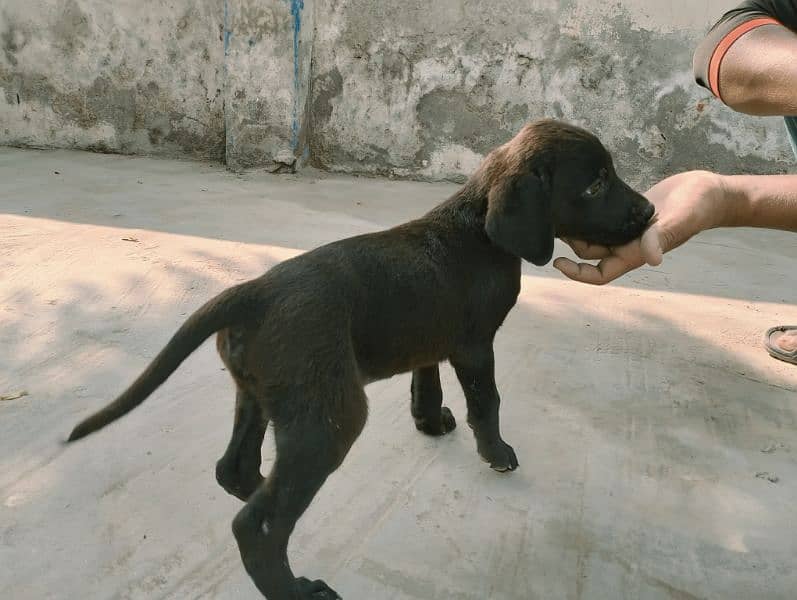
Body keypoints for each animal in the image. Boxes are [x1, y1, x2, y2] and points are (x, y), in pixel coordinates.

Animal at [68, 119, 652, 596]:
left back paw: (263, 496)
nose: (650, 211)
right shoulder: (474, 346)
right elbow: (487, 404)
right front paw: (497, 453)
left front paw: (430, 423)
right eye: (595, 184)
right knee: (256, 526)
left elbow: (426, 383)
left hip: (262, 395)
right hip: (330, 417)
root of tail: (253, 292)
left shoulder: (429, 339)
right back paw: (297, 590)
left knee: (238, 472)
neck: (478, 227)